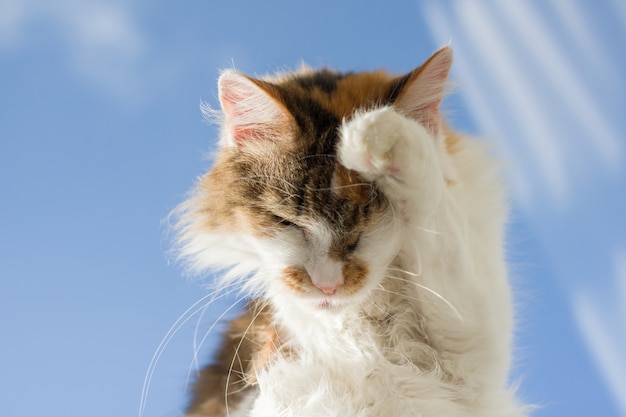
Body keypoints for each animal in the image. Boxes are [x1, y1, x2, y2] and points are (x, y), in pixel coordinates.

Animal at [173, 47, 524, 414]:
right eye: (286, 221)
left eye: (374, 219)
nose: (327, 285)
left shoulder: (469, 353)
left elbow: (437, 217)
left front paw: (373, 131)